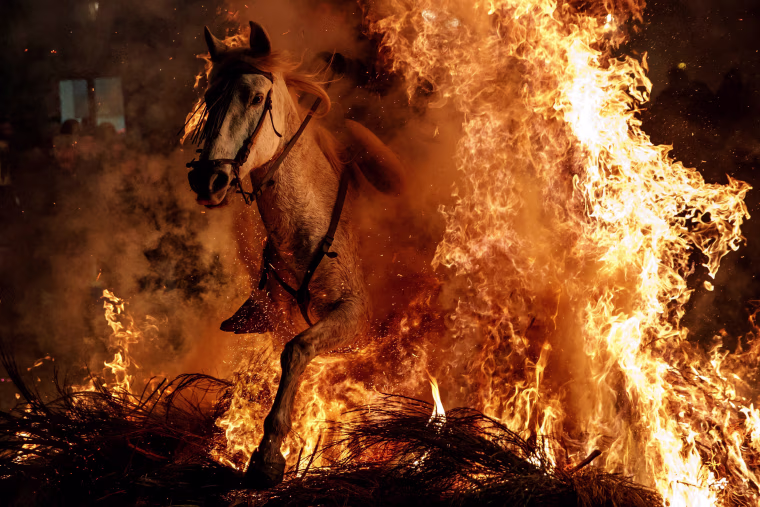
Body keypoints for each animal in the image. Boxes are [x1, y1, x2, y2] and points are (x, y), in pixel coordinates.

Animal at [185, 21, 404, 488]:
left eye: (254, 98)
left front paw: (268, 455)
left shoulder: (355, 319)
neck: (310, 230)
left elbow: (297, 351)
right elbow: (286, 364)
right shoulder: (278, 322)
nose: (208, 180)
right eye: (209, 98)